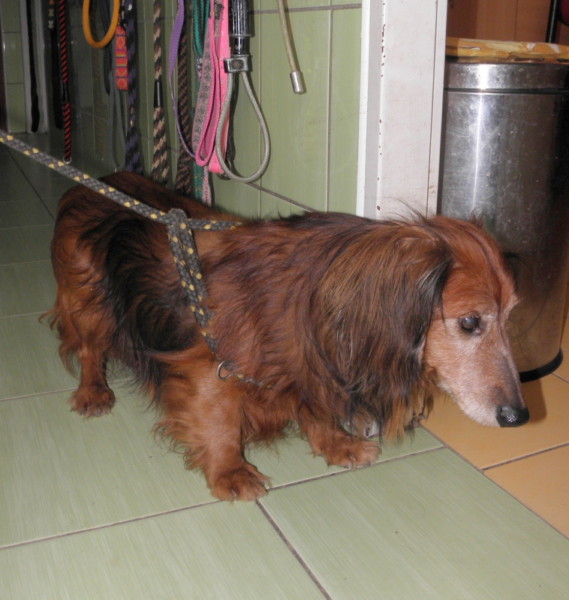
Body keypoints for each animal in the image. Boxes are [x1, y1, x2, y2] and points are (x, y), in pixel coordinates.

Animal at [48, 172, 529, 500]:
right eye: (470, 322)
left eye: (510, 317)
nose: (519, 417)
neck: (318, 298)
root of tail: (95, 182)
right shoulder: (209, 371)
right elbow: (219, 423)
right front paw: (230, 472)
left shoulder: (312, 365)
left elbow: (316, 411)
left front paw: (337, 444)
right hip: (89, 305)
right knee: (89, 349)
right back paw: (93, 392)